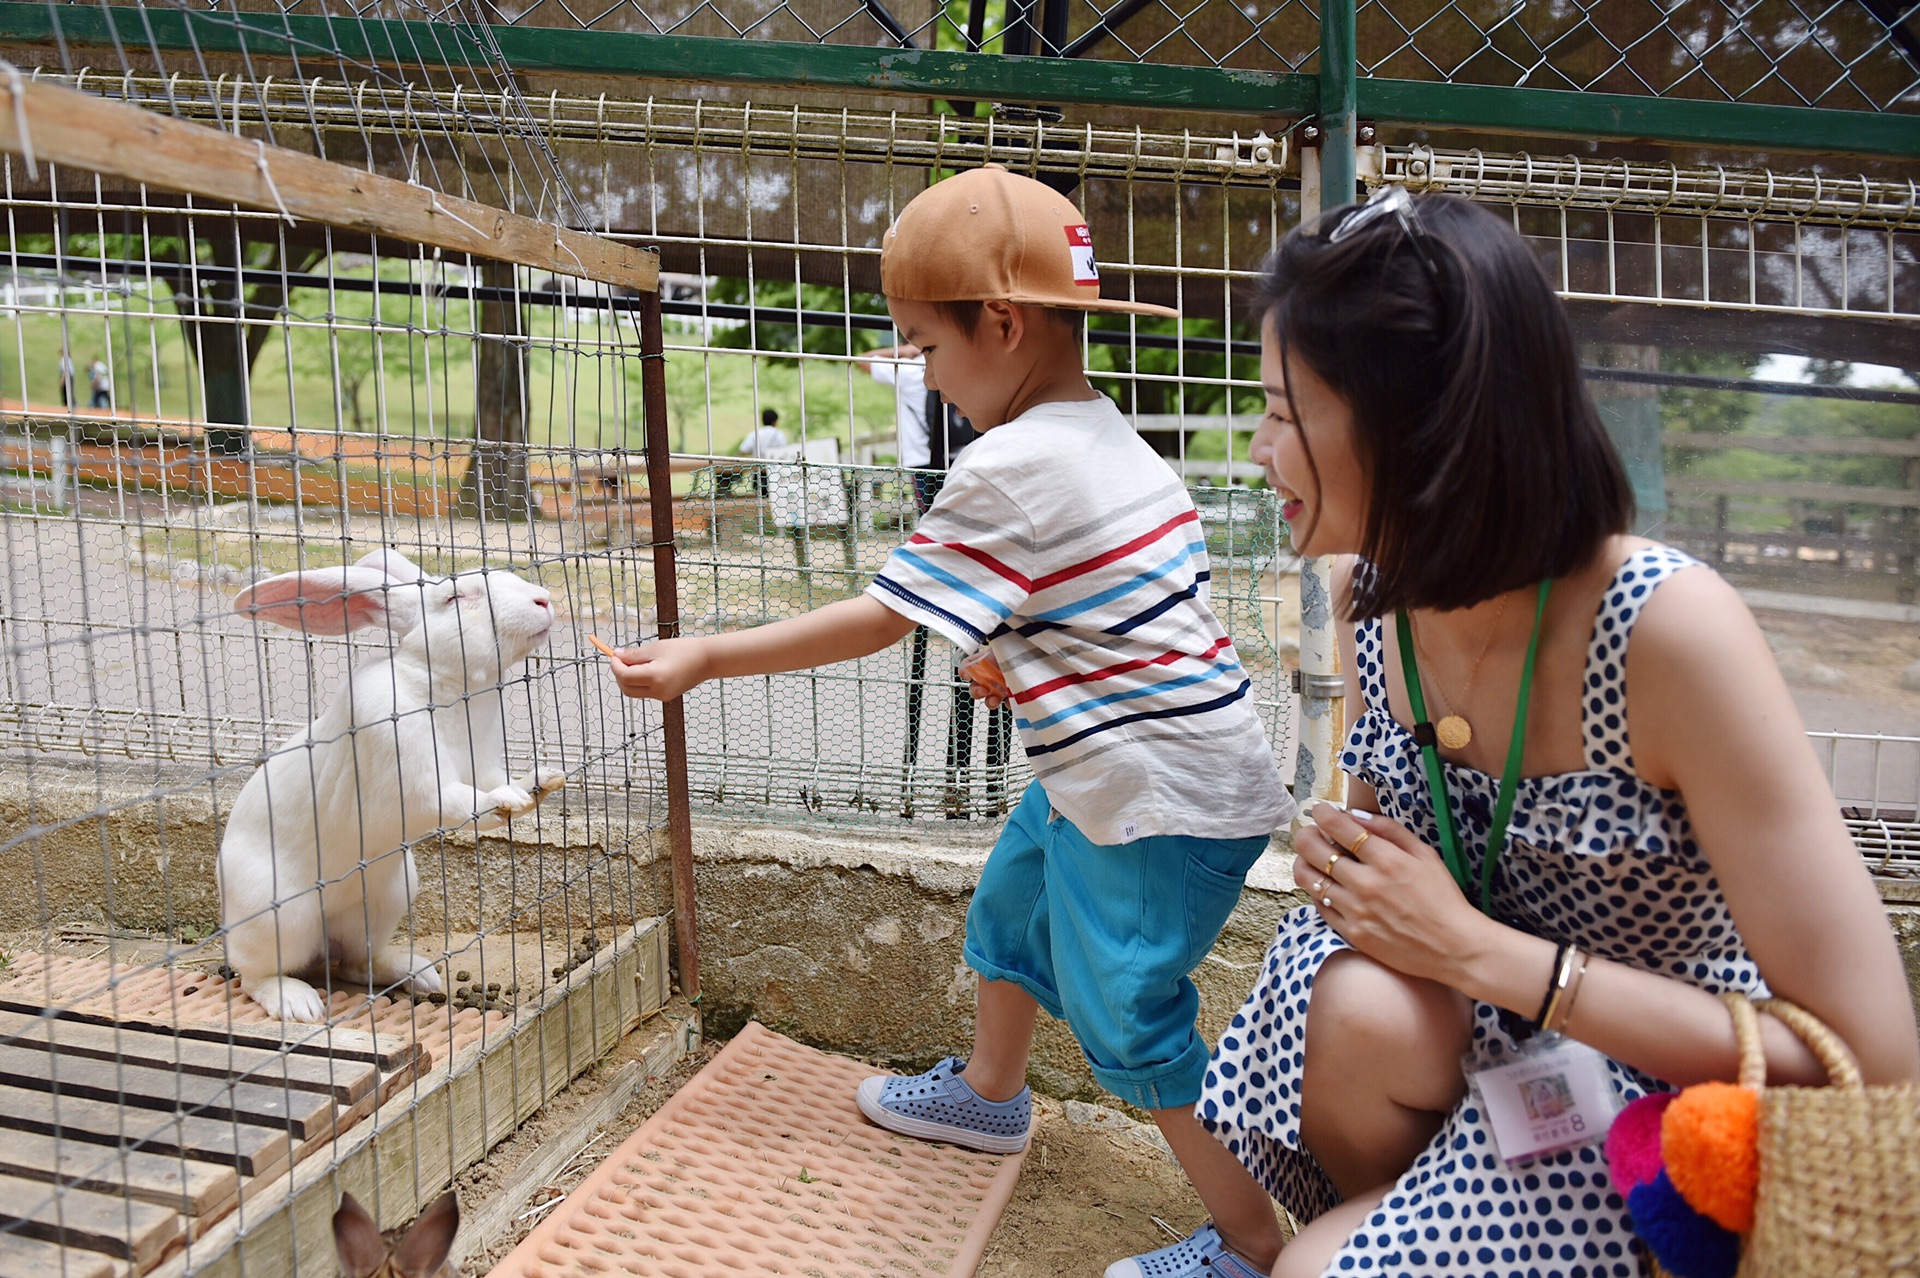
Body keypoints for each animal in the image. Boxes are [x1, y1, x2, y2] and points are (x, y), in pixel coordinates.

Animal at [219, 548, 560, 1013]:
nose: (544, 600)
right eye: (455, 597)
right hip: (279, 917)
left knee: (356, 961)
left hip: (388, 896)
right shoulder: (416, 777)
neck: (444, 687)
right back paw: (297, 1003)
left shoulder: (483, 762)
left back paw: (419, 974)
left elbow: (495, 779)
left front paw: (543, 781)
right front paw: (508, 800)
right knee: (253, 973)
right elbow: (460, 801)